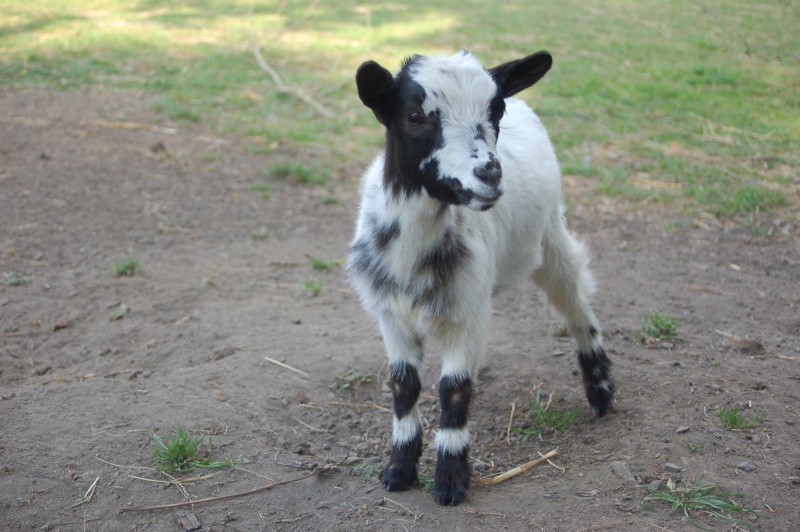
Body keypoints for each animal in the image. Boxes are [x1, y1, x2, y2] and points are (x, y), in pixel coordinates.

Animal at [344, 51, 612, 508]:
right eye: (414, 115)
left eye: (495, 110)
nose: (489, 172)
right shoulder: (390, 313)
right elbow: (404, 385)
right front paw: (399, 469)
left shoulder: (467, 310)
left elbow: (453, 389)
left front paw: (450, 481)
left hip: (549, 237)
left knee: (576, 303)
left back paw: (600, 390)